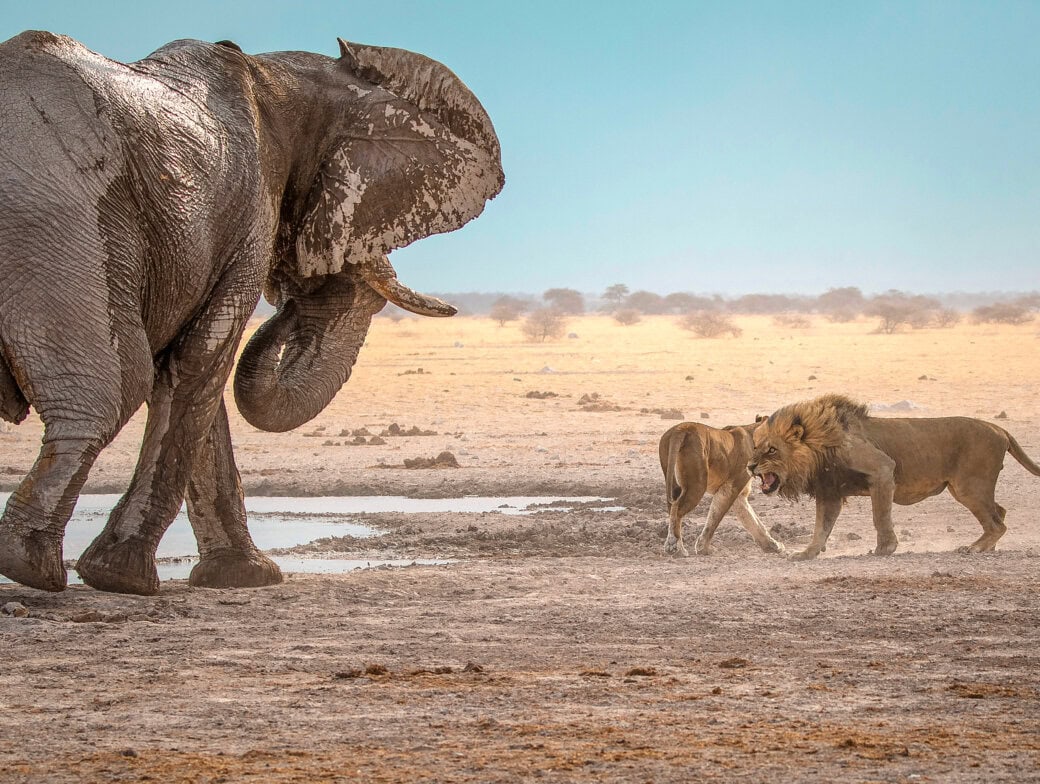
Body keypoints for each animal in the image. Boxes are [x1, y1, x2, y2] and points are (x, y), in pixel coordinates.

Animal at [0, 31, 503, 595]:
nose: (288, 309)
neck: (280, 77)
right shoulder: (250, 215)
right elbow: (195, 368)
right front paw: (123, 579)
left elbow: (194, 383)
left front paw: (242, 578)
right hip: (61, 219)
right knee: (111, 391)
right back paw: (33, 569)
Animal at [660, 420, 784, 556]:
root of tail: (681, 429)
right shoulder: (730, 487)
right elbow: (715, 517)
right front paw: (704, 548)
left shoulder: (739, 495)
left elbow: (752, 520)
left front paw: (773, 545)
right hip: (697, 484)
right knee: (677, 508)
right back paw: (676, 548)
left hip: (672, 480)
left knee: (671, 507)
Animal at [747, 393, 1040, 561]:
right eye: (755, 446)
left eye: (771, 450)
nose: (750, 466)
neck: (819, 447)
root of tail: (999, 428)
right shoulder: (830, 491)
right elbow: (821, 527)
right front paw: (806, 554)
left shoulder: (883, 469)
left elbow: (880, 516)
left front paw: (884, 549)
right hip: (964, 488)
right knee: (1000, 512)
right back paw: (988, 548)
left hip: (969, 487)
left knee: (997, 523)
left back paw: (975, 549)